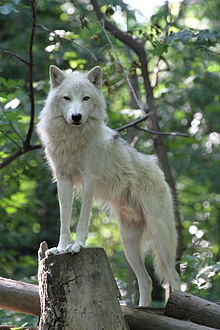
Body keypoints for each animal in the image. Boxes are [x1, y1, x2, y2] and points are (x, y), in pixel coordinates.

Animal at [36, 65, 180, 306]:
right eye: (67, 98)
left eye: (86, 98)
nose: (76, 117)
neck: (73, 139)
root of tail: (156, 167)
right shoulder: (63, 179)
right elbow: (64, 219)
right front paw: (61, 248)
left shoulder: (88, 179)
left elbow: (82, 219)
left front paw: (77, 246)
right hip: (128, 243)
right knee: (147, 281)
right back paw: (143, 308)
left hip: (160, 236)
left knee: (174, 278)